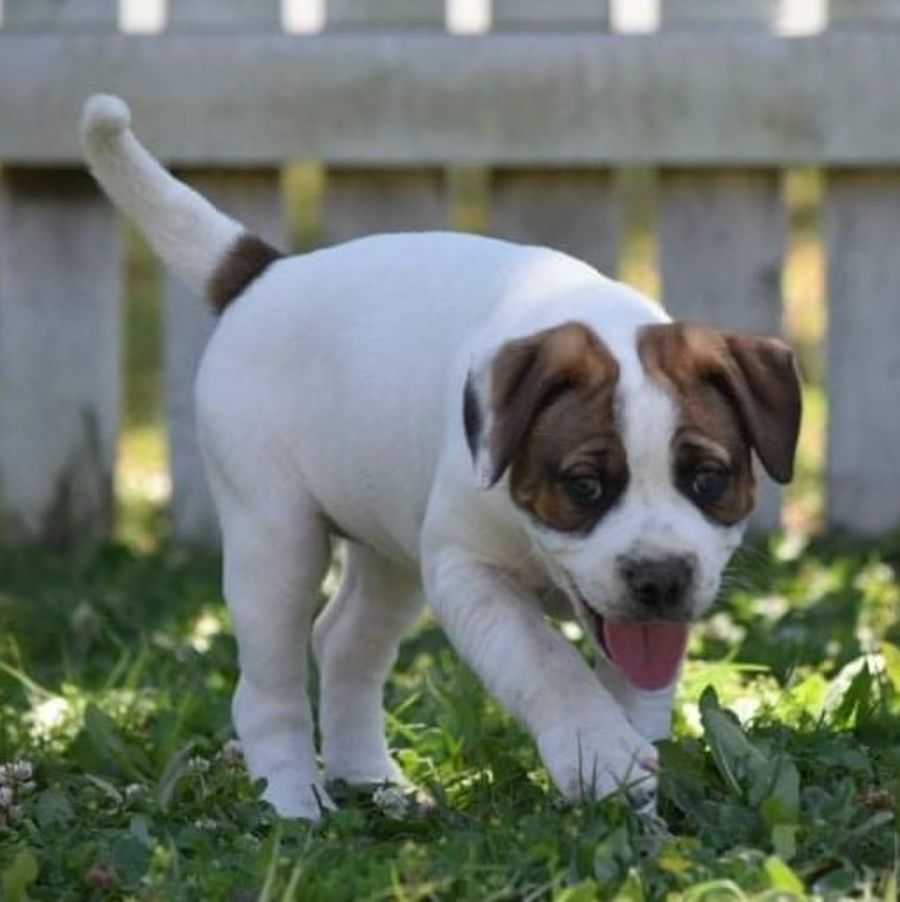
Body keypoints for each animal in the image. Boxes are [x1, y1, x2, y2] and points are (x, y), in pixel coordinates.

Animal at [81, 95, 801, 820]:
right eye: (584, 487)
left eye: (708, 480)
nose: (660, 579)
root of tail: (267, 273)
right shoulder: (468, 573)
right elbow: (547, 662)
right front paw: (597, 753)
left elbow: (636, 684)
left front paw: (631, 778)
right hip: (275, 540)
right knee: (269, 687)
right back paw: (294, 804)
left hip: (390, 547)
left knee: (345, 642)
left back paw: (372, 781)